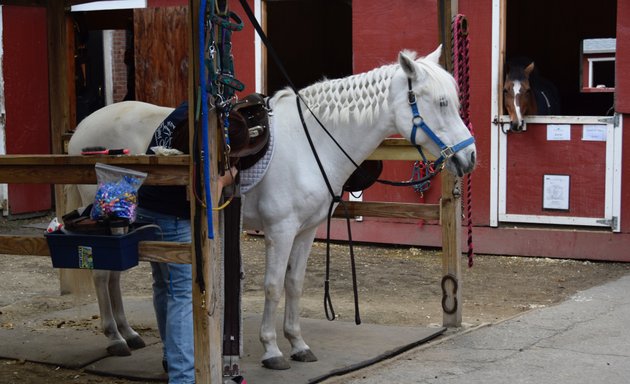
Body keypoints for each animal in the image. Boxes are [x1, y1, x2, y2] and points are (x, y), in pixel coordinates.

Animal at [65, 45, 478, 368]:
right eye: (441, 103)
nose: (470, 157)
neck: (313, 144)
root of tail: (82, 129)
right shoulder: (280, 230)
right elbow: (273, 286)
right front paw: (272, 349)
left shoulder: (307, 230)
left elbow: (294, 284)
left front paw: (297, 344)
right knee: (102, 275)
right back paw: (116, 338)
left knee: (114, 277)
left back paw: (129, 333)